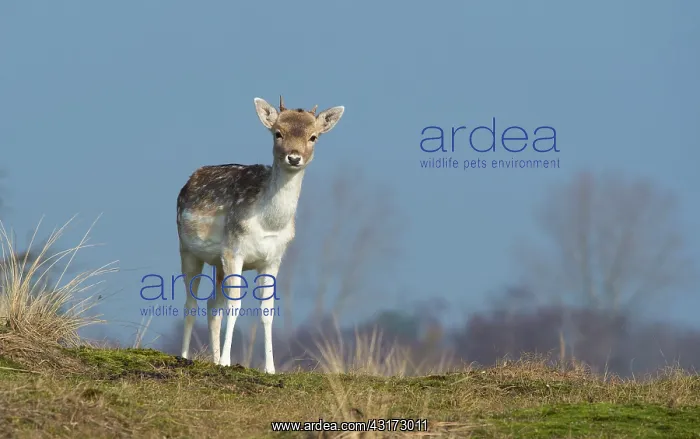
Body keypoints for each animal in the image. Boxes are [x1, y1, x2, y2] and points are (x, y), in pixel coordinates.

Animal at [176, 96, 344, 373]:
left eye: (313, 137)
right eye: (278, 133)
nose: (294, 157)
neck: (269, 223)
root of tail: (190, 179)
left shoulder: (273, 259)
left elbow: (267, 310)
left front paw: (270, 368)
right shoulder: (234, 251)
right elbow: (235, 305)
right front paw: (227, 361)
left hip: (217, 262)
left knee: (212, 305)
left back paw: (213, 359)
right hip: (187, 249)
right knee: (191, 302)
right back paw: (185, 356)